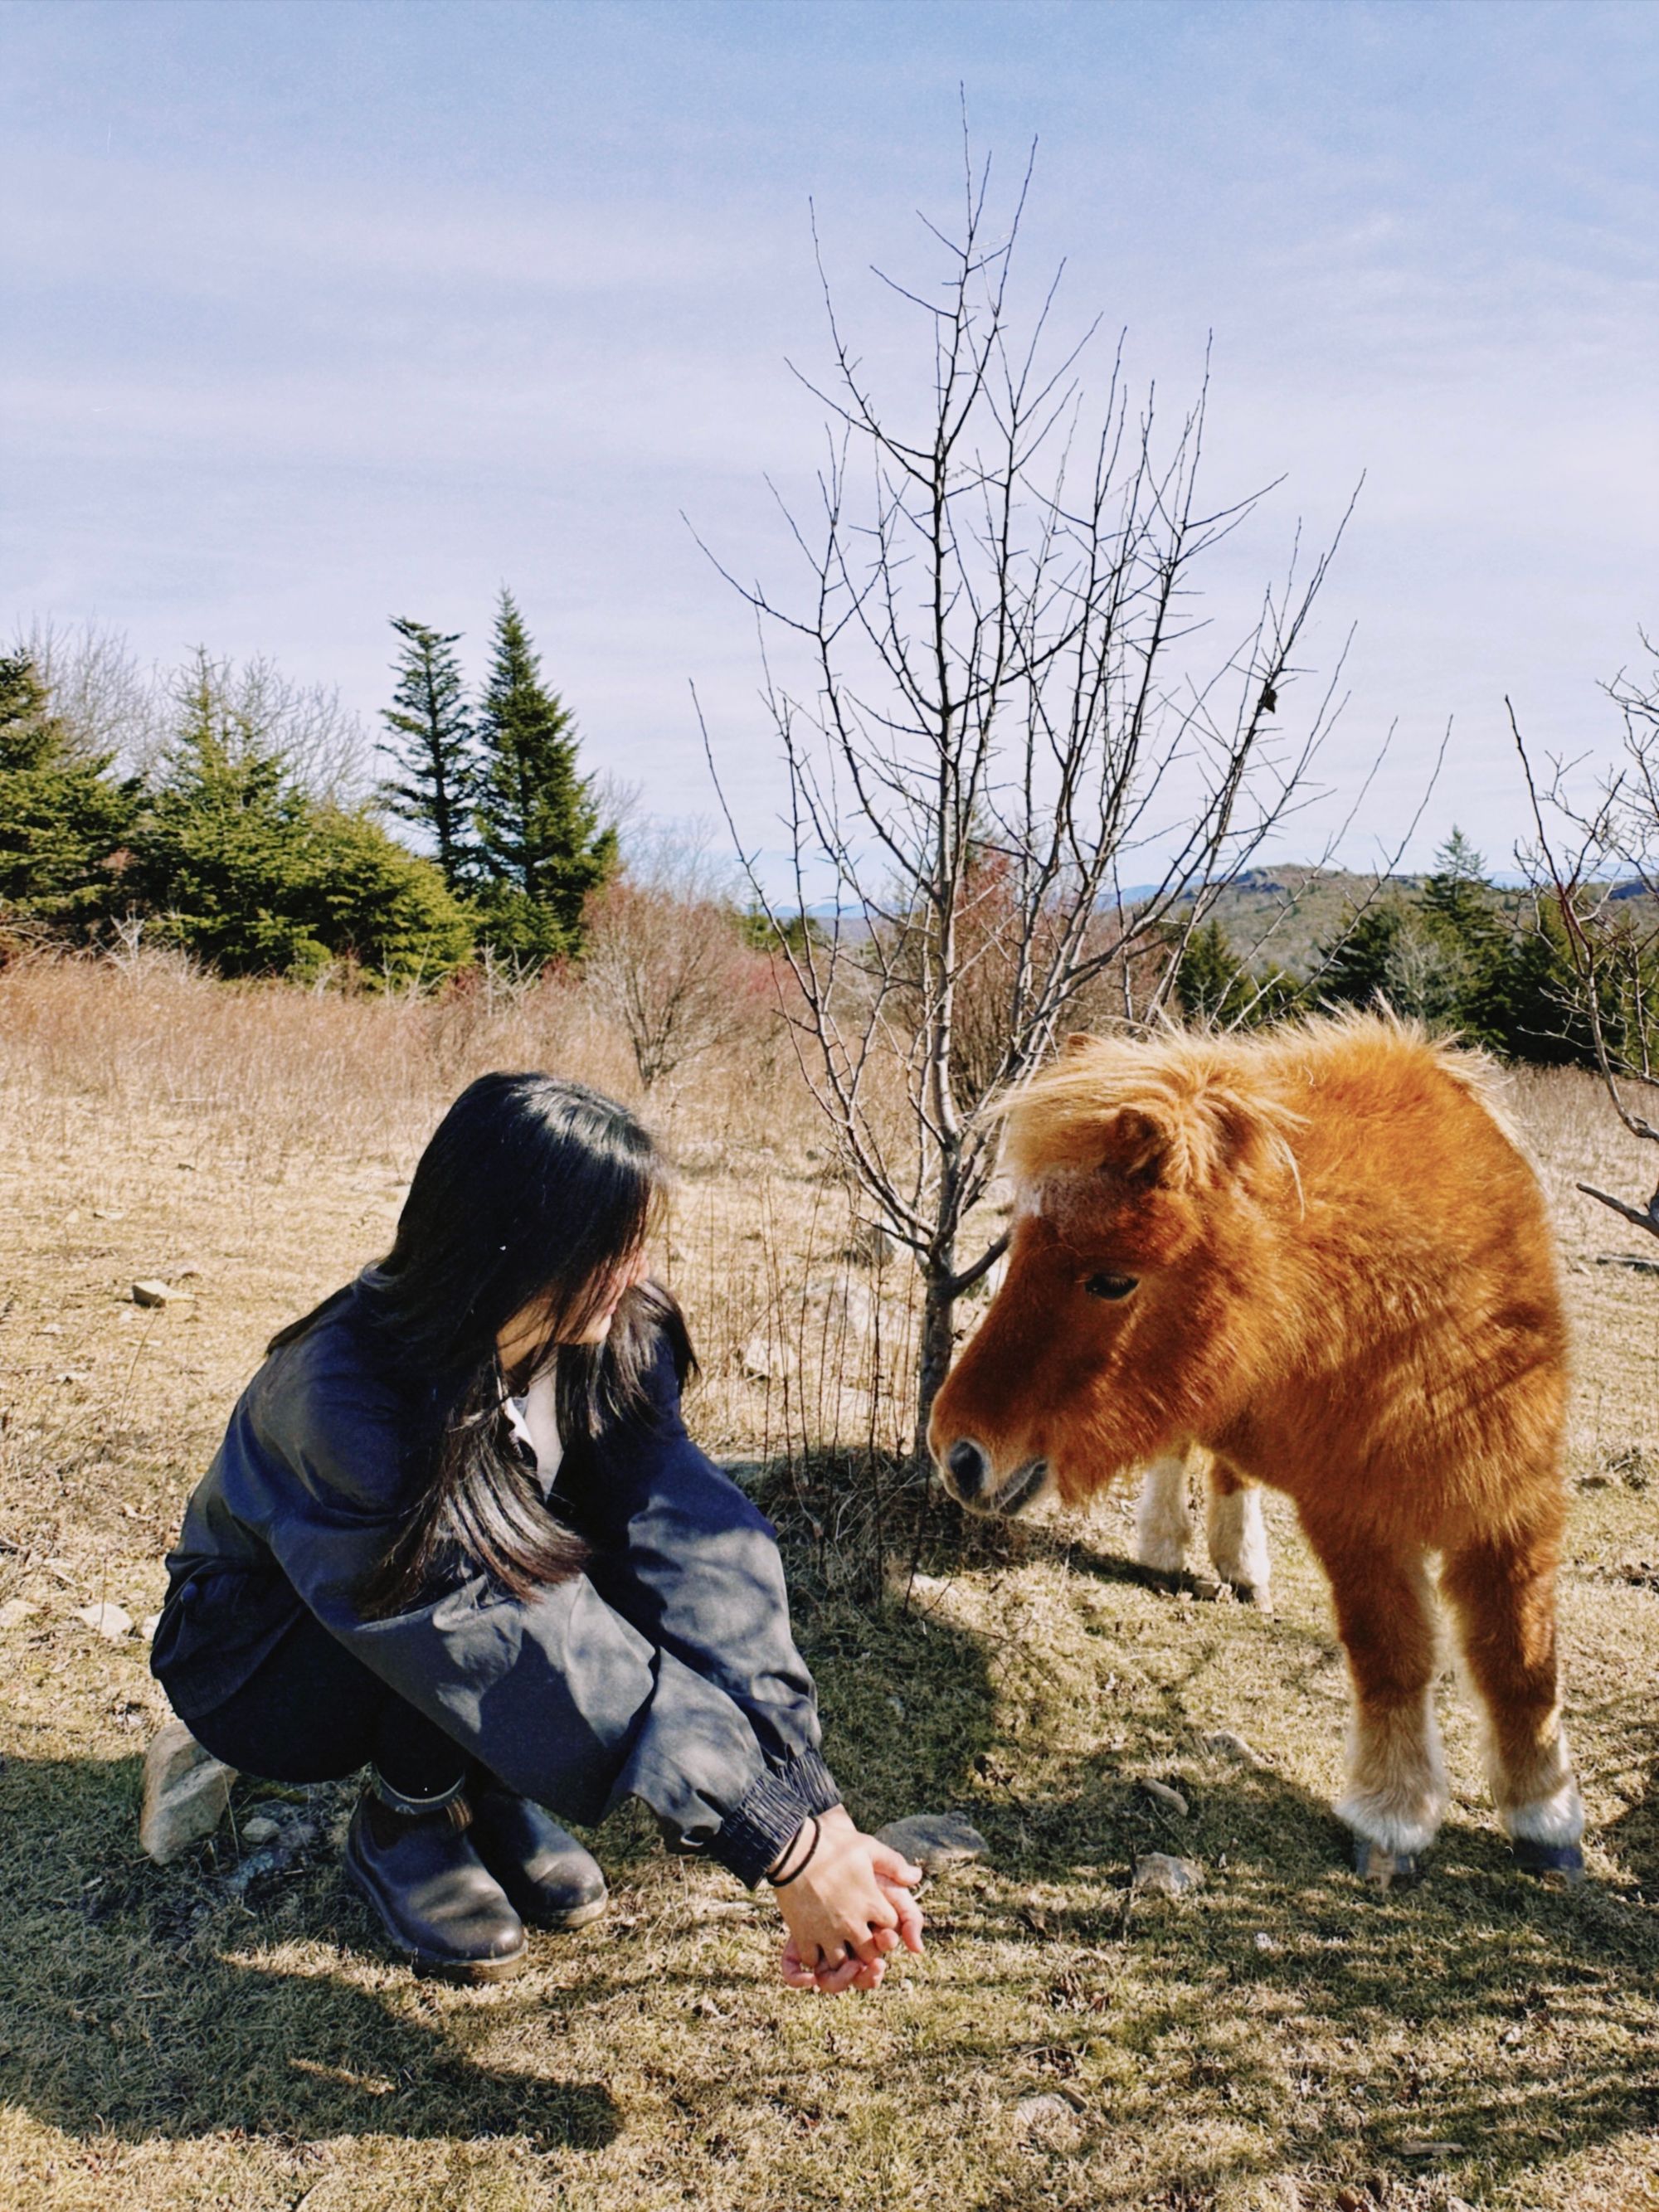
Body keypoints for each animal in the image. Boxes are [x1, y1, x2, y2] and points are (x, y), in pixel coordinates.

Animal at [929, 1013, 1593, 1884]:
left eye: (1112, 1279)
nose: (958, 1453)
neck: (1423, 1313)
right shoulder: (1355, 1518)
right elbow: (1391, 1655)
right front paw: (1394, 1815)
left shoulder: (1518, 1504)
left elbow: (1522, 1657)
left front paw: (1546, 1815)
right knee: (1185, 1450)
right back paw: (1170, 1545)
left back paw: (1238, 1562)